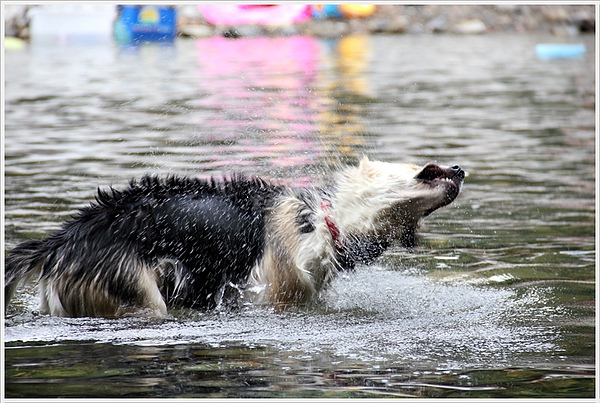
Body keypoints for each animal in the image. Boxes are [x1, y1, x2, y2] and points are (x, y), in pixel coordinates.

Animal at [3, 158, 464, 318]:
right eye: (431, 168)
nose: (461, 170)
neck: (325, 222)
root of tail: (62, 240)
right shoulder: (276, 291)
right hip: (136, 291)